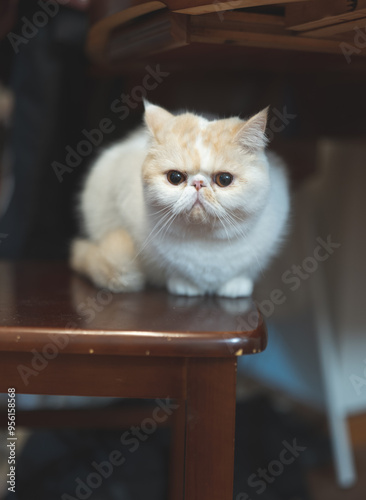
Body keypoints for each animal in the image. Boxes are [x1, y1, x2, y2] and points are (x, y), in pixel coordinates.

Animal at [70, 101, 290, 296]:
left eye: (224, 179)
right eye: (175, 177)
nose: (198, 183)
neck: (204, 242)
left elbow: (243, 272)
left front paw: (235, 286)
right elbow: (170, 271)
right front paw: (184, 285)